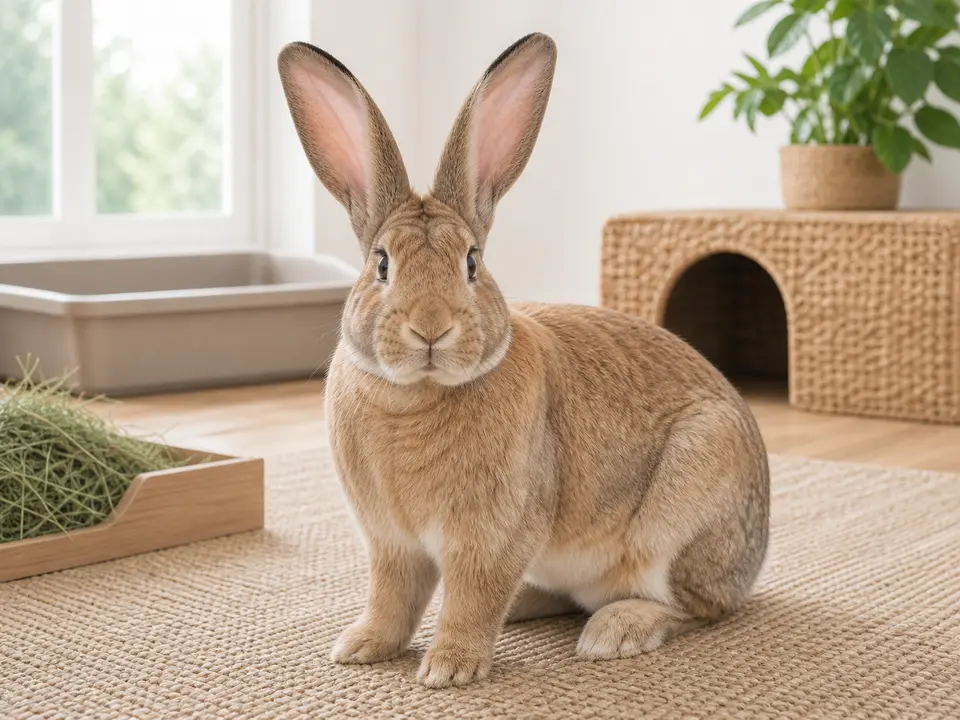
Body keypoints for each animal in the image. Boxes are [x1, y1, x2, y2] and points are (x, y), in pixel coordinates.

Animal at [277, 32, 769, 688]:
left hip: (687, 510)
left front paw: (450, 667)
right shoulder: (391, 542)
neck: (417, 392)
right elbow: (391, 597)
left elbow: (472, 598)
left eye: (472, 262)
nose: (430, 327)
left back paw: (615, 632)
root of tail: (755, 557)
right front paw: (360, 647)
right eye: (381, 264)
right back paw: (528, 606)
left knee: (694, 607)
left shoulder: (493, 537)